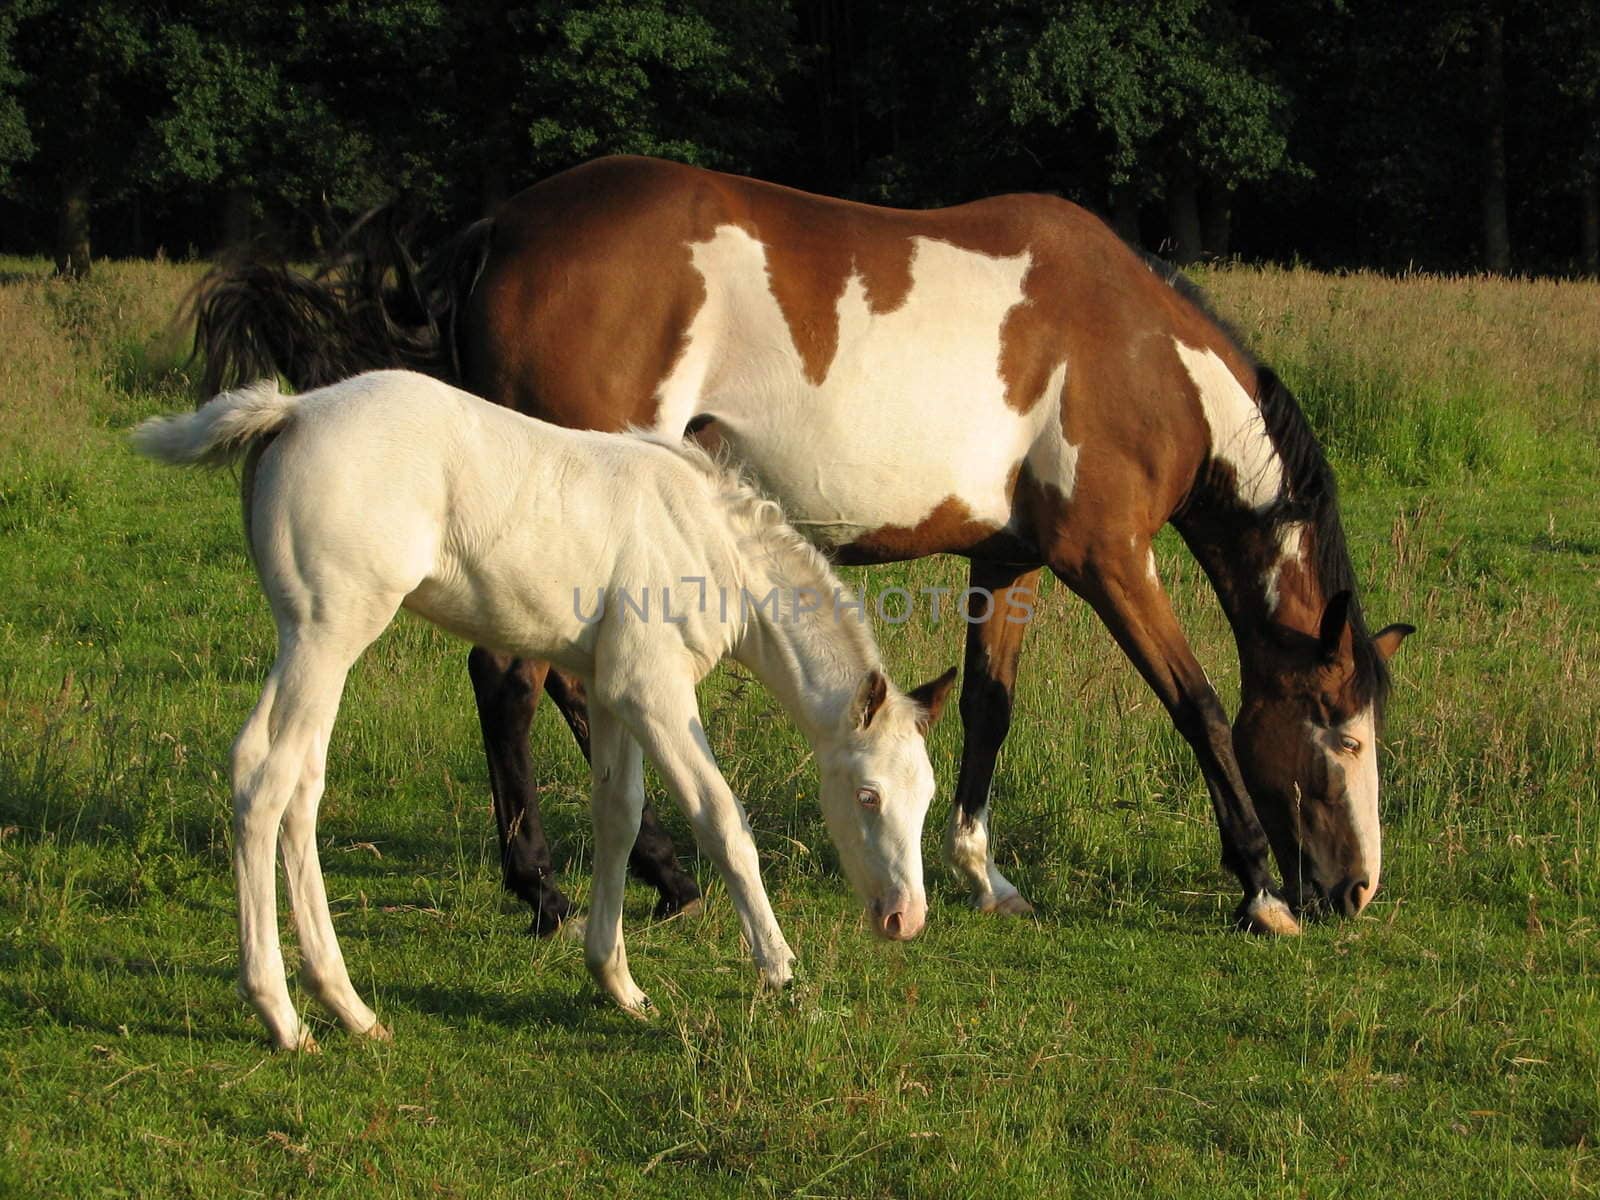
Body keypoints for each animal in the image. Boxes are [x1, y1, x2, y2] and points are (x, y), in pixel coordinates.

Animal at [134, 369, 947, 1049]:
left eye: (928, 799)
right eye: (867, 796)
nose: (906, 919)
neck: (713, 545)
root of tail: (293, 411)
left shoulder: (615, 689)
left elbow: (618, 814)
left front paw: (618, 983)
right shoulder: (657, 691)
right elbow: (722, 819)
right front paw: (778, 969)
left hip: (317, 641)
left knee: (292, 780)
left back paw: (349, 1008)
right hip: (327, 631)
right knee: (266, 777)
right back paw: (281, 1014)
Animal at [196, 152, 1414, 940]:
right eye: (1341, 732)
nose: (1355, 890)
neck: (1137, 351)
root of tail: (499, 231)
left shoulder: (1008, 563)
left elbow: (988, 709)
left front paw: (982, 873)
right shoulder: (1108, 559)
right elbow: (1197, 705)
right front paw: (1257, 888)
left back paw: (661, 875)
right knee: (510, 678)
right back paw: (550, 889)